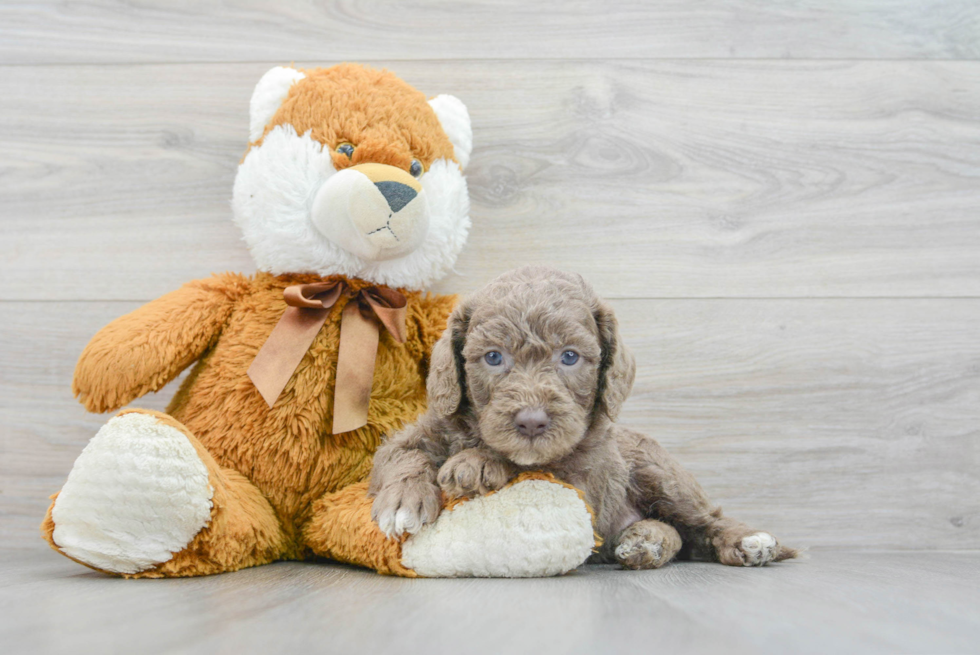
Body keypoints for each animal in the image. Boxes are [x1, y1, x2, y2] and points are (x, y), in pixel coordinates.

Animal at [368, 266, 796, 568]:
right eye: (493, 357)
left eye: (570, 357)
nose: (532, 421)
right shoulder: (417, 433)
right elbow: (403, 456)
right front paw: (404, 502)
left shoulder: (583, 480)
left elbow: (533, 466)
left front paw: (476, 463)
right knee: (681, 535)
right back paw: (647, 541)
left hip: (660, 472)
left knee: (704, 522)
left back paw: (748, 542)